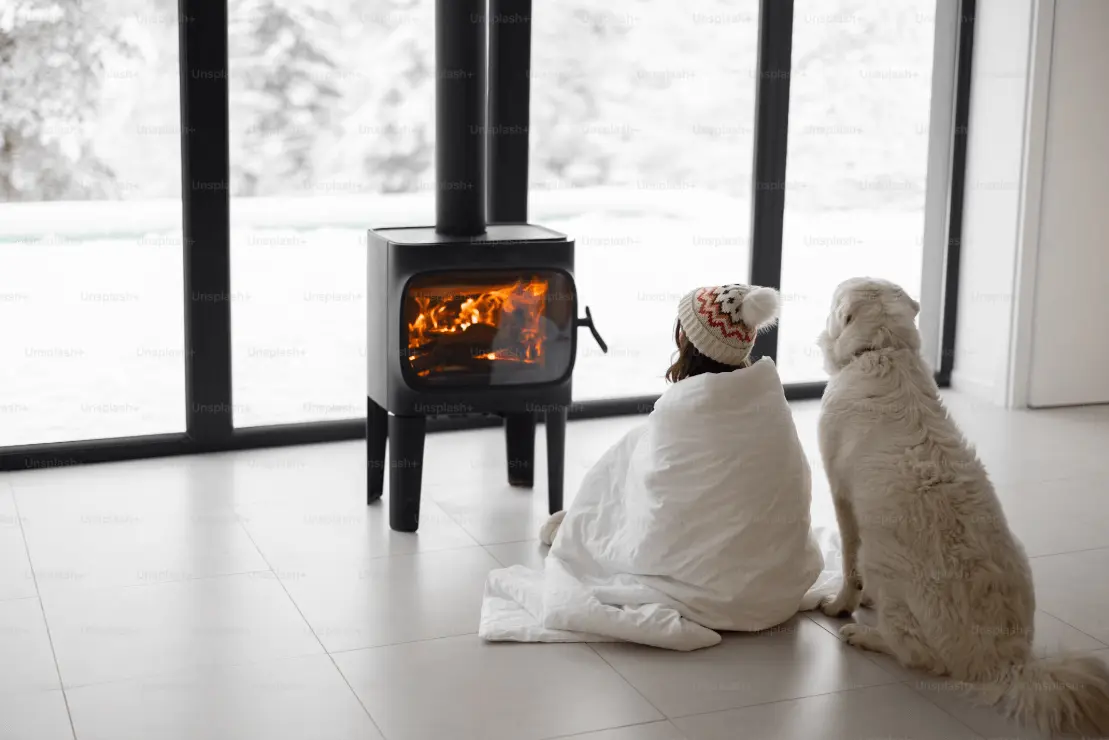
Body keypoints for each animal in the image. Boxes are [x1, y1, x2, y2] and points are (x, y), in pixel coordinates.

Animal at [816, 276, 1109, 736]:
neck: (884, 350)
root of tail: (1004, 664)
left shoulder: (843, 498)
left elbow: (849, 564)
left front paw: (842, 604)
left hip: (886, 561)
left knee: (918, 654)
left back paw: (866, 637)